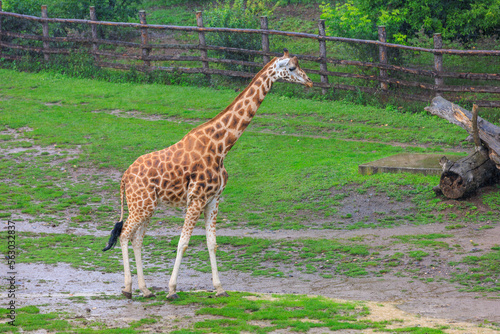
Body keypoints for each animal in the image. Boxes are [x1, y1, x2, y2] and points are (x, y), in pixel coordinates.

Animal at [102, 49, 312, 300]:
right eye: (291, 68)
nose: (309, 81)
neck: (221, 147)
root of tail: (124, 176)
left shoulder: (213, 199)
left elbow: (212, 243)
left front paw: (219, 288)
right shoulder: (196, 199)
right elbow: (183, 243)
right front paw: (172, 290)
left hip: (147, 206)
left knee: (136, 239)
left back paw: (145, 289)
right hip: (140, 205)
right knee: (125, 235)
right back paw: (128, 288)